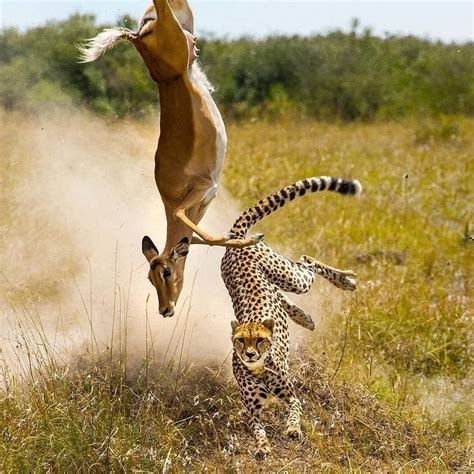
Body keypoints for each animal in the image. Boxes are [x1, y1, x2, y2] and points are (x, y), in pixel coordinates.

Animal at [220, 176, 362, 458]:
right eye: (241, 340)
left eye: (260, 340)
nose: (249, 354)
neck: (259, 366)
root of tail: (237, 239)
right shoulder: (252, 411)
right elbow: (258, 430)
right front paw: (262, 448)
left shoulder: (291, 395)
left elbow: (295, 411)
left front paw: (293, 430)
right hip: (270, 281)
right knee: (281, 294)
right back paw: (304, 317)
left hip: (291, 277)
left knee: (307, 261)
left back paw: (344, 281)